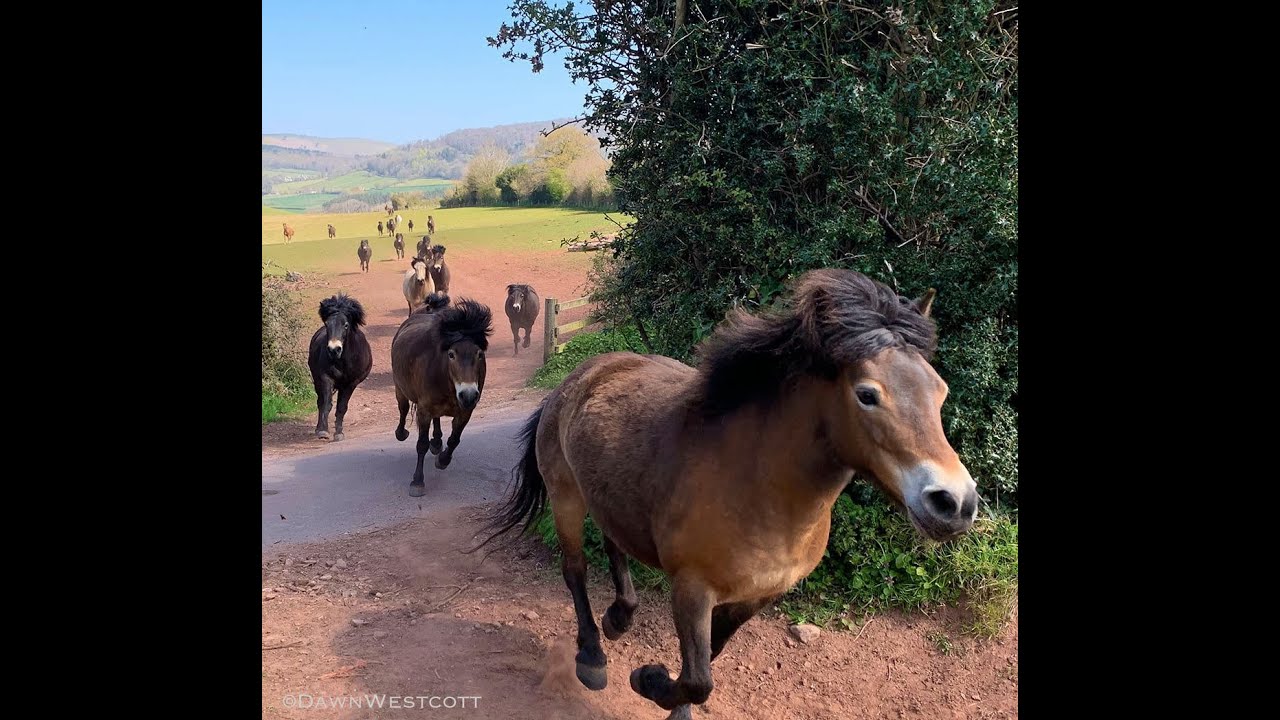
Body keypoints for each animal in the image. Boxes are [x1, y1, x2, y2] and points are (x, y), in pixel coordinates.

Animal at [306, 294, 373, 442]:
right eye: (327, 324)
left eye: (346, 325)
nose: (334, 349)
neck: (342, 361)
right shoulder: (325, 378)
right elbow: (326, 404)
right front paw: (323, 432)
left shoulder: (351, 384)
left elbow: (342, 407)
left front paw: (339, 433)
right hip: (317, 380)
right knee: (320, 402)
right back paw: (319, 428)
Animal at [391, 298, 492, 497]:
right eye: (451, 354)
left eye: (479, 354)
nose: (468, 394)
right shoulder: (424, 410)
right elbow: (421, 444)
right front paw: (417, 482)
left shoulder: (465, 411)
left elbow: (454, 439)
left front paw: (443, 460)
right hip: (400, 388)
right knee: (403, 409)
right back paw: (402, 433)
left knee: (437, 420)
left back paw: (437, 443)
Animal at [480, 269, 978, 720]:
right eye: (867, 395)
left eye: (940, 391)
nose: (955, 503)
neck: (761, 492)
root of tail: (577, 377)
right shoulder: (692, 588)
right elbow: (698, 678)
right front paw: (648, 679)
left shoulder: (757, 596)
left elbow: (708, 657)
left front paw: (667, 694)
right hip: (566, 496)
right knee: (576, 570)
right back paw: (592, 657)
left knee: (613, 543)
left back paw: (619, 618)